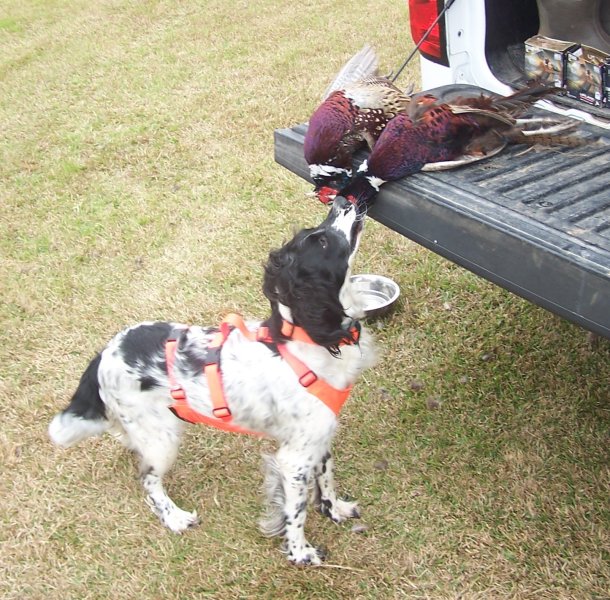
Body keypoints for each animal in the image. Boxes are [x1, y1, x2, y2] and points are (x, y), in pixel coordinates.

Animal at [50, 196, 376, 564]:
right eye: (321, 242)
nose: (343, 200)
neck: (305, 340)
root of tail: (105, 352)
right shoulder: (294, 458)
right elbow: (297, 511)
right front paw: (301, 553)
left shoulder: (318, 439)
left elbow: (327, 478)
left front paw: (335, 510)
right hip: (163, 439)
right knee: (148, 480)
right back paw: (174, 517)